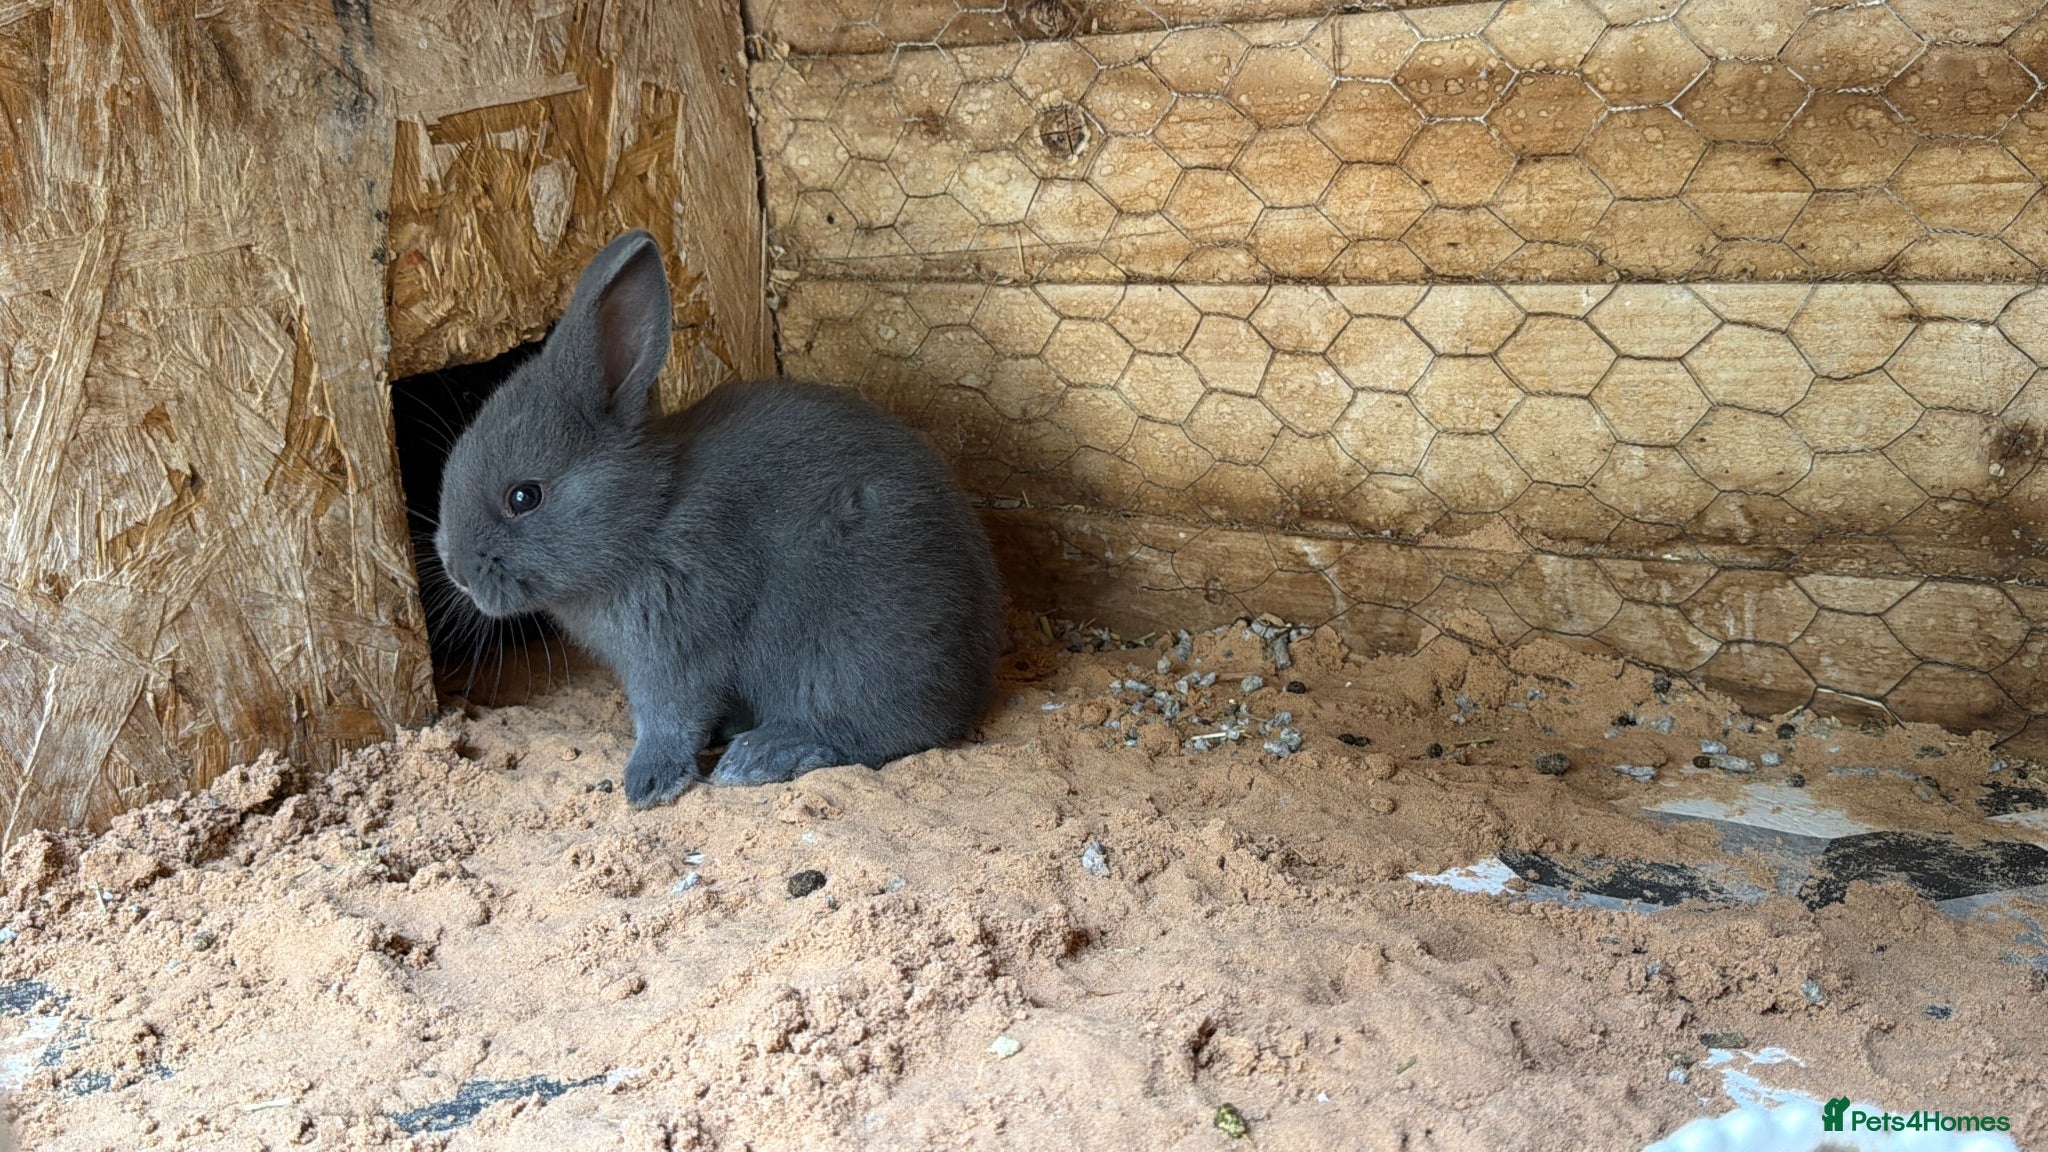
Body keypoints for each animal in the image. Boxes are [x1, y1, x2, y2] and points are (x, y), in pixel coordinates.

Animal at [434, 230, 1002, 807]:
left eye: (524, 497)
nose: (457, 571)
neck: (650, 516)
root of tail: (976, 669)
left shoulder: (675, 649)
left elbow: (669, 719)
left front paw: (647, 783)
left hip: (843, 649)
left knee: (877, 729)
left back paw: (760, 755)